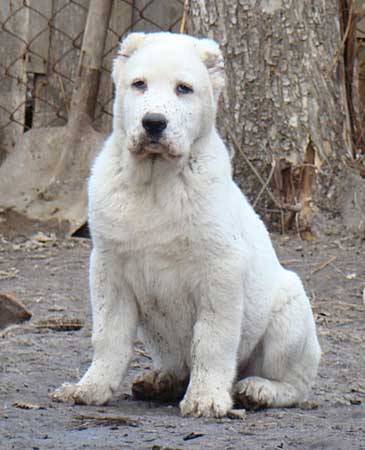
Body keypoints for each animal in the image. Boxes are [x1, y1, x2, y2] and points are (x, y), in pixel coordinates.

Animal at [51, 32, 318, 418]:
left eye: (184, 89)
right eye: (139, 84)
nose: (153, 123)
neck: (155, 181)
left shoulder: (221, 270)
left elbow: (211, 340)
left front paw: (206, 398)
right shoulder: (108, 267)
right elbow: (108, 336)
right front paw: (91, 388)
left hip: (290, 311)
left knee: (295, 383)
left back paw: (259, 390)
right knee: (177, 364)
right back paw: (161, 381)